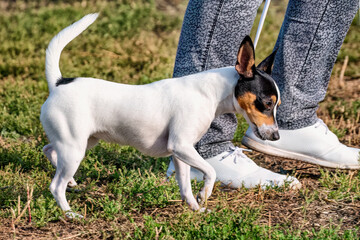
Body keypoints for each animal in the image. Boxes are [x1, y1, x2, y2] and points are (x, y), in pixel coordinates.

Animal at [41, 13, 282, 219]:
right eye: (267, 103)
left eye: (277, 104)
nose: (277, 137)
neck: (210, 92)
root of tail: (58, 83)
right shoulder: (181, 146)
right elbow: (211, 171)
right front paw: (204, 194)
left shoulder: (181, 153)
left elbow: (185, 187)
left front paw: (195, 209)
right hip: (75, 148)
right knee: (55, 186)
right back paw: (70, 213)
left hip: (84, 142)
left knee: (48, 149)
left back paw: (70, 181)